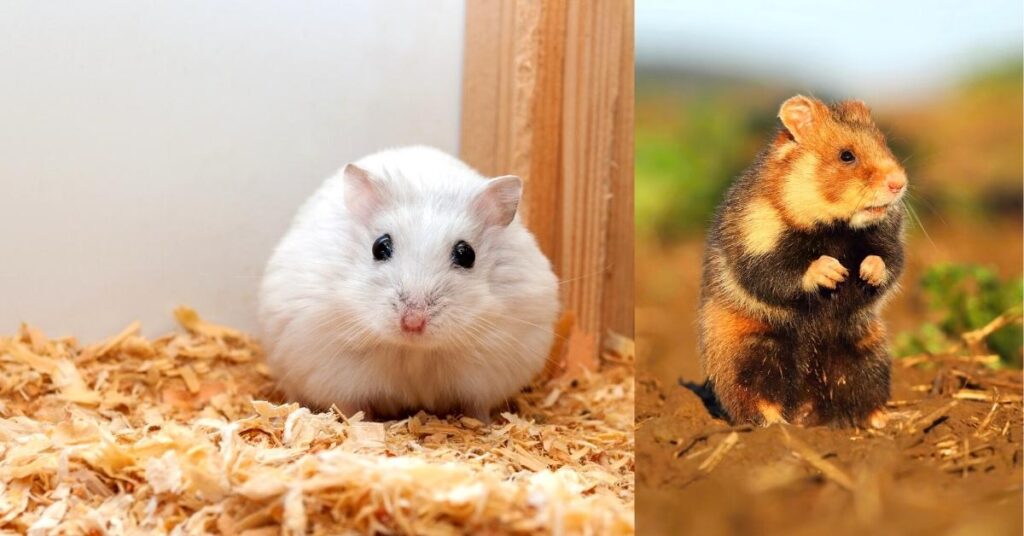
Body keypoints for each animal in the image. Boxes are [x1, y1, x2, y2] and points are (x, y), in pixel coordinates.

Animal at [258, 146, 559, 422]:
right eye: (380, 247)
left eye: (466, 254)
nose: (413, 323)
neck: (414, 350)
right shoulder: (334, 369)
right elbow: (351, 408)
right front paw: (358, 425)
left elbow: (476, 409)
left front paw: (482, 425)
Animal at [699, 95, 907, 428]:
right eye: (846, 156)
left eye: (884, 143)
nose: (899, 183)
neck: (836, 228)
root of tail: (806, 410)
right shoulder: (755, 239)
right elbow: (777, 271)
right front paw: (833, 271)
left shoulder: (889, 239)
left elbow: (889, 260)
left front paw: (866, 271)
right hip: (750, 351)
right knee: (755, 397)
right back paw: (778, 426)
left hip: (866, 348)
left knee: (864, 394)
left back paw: (886, 420)